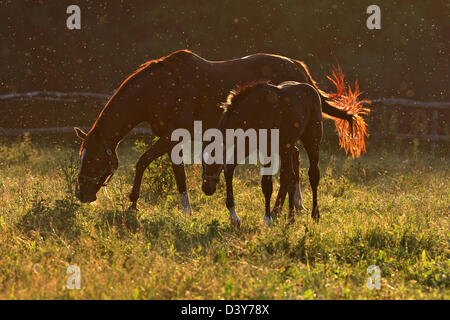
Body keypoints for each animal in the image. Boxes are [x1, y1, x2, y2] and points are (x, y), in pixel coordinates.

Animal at [74, 49, 370, 212]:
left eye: (93, 160)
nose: (81, 195)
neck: (159, 88)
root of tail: (299, 69)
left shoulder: (173, 137)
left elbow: (148, 163)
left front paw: (141, 204)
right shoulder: (169, 138)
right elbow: (164, 168)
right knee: (294, 159)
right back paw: (296, 204)